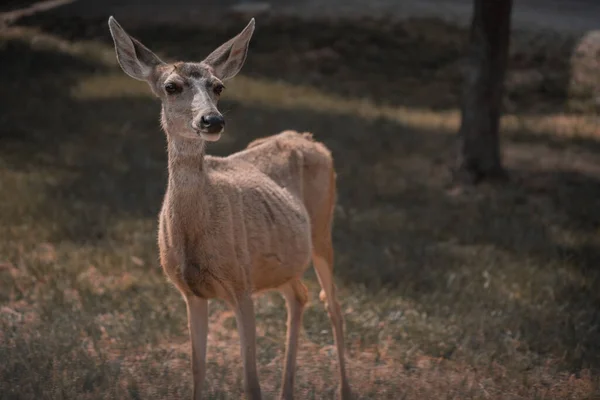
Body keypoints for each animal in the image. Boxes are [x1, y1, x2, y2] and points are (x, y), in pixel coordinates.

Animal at [108, 16, 352, 400]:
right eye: (171, 86)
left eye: (218, 86)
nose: (213, 120)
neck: (195, 236)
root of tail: (308, 139)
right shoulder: (190, 292)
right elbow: (197, 372)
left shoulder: (240, 285)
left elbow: (251, 384)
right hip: (281, 259)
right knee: (299, 295)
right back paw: (287, 391)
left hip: (322, 229)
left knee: (334, 304)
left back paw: (345, 389)